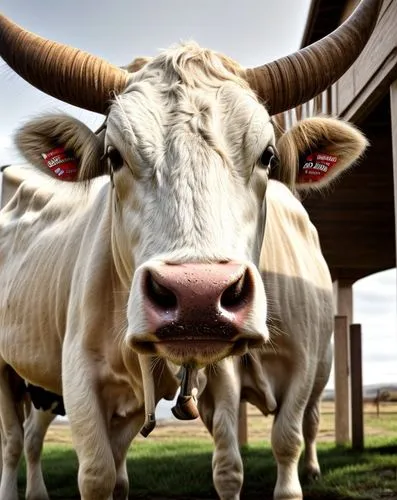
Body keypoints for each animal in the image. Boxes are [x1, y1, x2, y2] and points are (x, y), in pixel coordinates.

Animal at [0, 1, 380, 498]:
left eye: (268, 155)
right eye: (113, 156)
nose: (198, 295)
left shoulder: (290, 369)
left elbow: (281, 444)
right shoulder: (81, 380)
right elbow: (100, 474)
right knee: (16, 441)